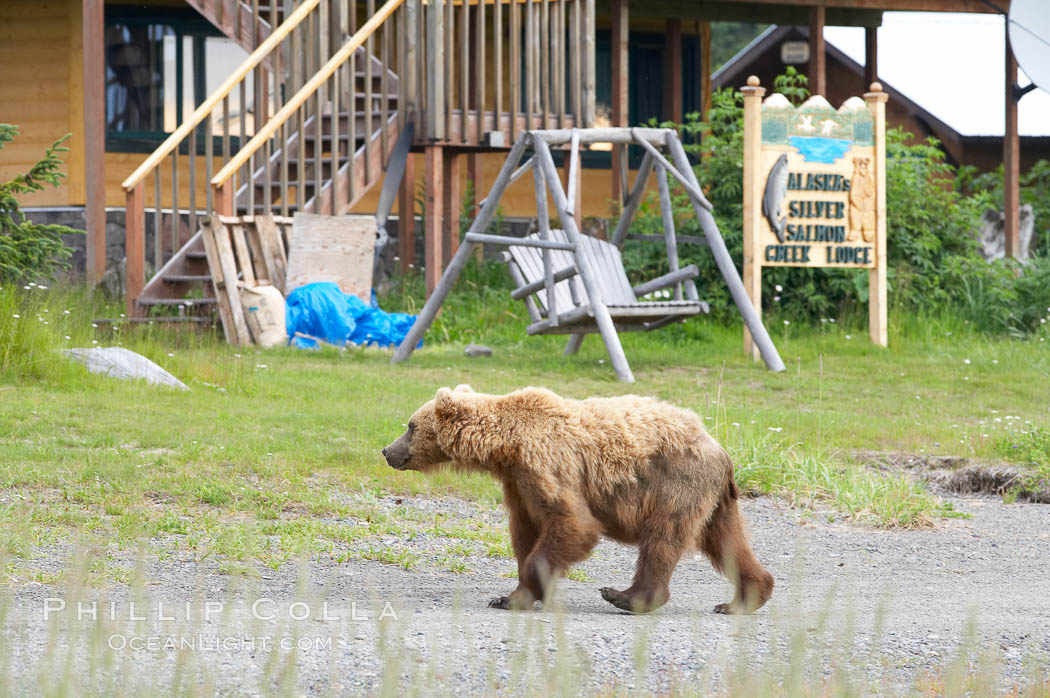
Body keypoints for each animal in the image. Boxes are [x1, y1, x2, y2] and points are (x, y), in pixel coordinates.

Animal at [382, 384, 776, 612]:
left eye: (410, 426)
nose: (387, 451)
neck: (505, 447)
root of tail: (720, 449)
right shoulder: (518, 483)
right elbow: (525, 532)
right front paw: (510, 594)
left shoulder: (547, 465)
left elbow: (573, 525)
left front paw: (517, 595)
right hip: (714, 499)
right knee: (725, 541)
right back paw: (744, 598)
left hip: (674, 485)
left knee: (662, 540)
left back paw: (627, 596)